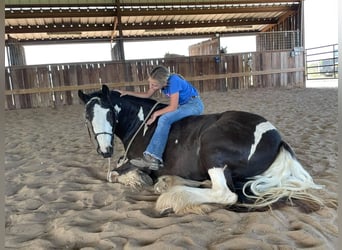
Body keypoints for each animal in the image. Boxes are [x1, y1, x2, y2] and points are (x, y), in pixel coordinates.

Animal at [77, 85, 324, 214]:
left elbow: (114, 174)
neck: (142, 123)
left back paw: (173, 196)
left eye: (110, 113)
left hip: (211, 150)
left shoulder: (138, 163)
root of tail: (276, 138)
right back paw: (170, 183)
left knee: (226, 194)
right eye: (87, 117)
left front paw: (138, 179)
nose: (105, 150)